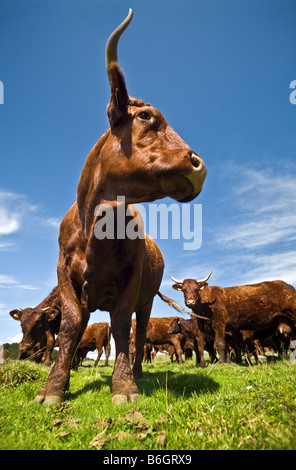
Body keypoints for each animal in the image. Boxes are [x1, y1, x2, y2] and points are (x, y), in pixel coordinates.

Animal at [34, 10, 206, 408]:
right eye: (145, 118)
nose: (199, 165)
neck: (94, 229)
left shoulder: (131, 279)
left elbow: (122, 325)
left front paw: (124, 386)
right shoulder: (64, 274)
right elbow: (70, 326)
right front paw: (54, 387)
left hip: (148, 297)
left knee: (139, 330)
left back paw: (140, 373)